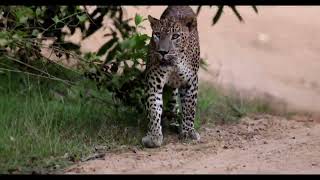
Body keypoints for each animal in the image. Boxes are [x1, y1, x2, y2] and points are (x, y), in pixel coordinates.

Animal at [142, 6, 201, 148]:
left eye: (175, 36)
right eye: (157, 34)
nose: (163, 52)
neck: (174, 63)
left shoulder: (191, 82)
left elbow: (189, 108)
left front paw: (188, 132)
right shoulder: (153, 82)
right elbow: (154, 108)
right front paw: (154, 137)